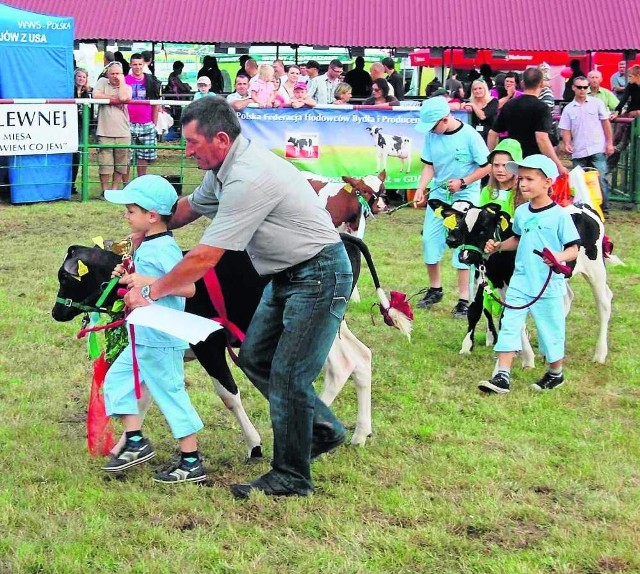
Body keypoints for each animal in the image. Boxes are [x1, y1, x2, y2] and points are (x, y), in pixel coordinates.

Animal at [432, 200, 612, 366]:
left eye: (483, 228)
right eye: (462, 227)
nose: (465, 256)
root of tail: (582, 206)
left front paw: (526, 358)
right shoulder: (493, 283)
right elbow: (484, 312)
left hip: (596, 269)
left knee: (604, 303)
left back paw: (600, 354)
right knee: (567, 298)